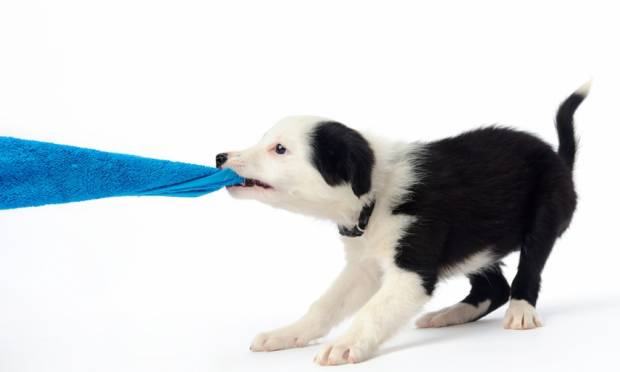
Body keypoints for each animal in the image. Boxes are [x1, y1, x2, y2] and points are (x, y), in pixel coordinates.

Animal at [216, 83, 588, 364]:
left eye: (280, 149)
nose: (220, 157)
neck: (374, 193)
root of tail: (559, 158)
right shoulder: (363, 266)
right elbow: (326, 304)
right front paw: (288, 333)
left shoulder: (412, 270)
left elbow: (373, 311)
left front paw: (344, 345)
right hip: (476, 246)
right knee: (493, 287)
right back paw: (448, 315)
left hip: (543, 214)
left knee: (528, 270)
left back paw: (521, 312)